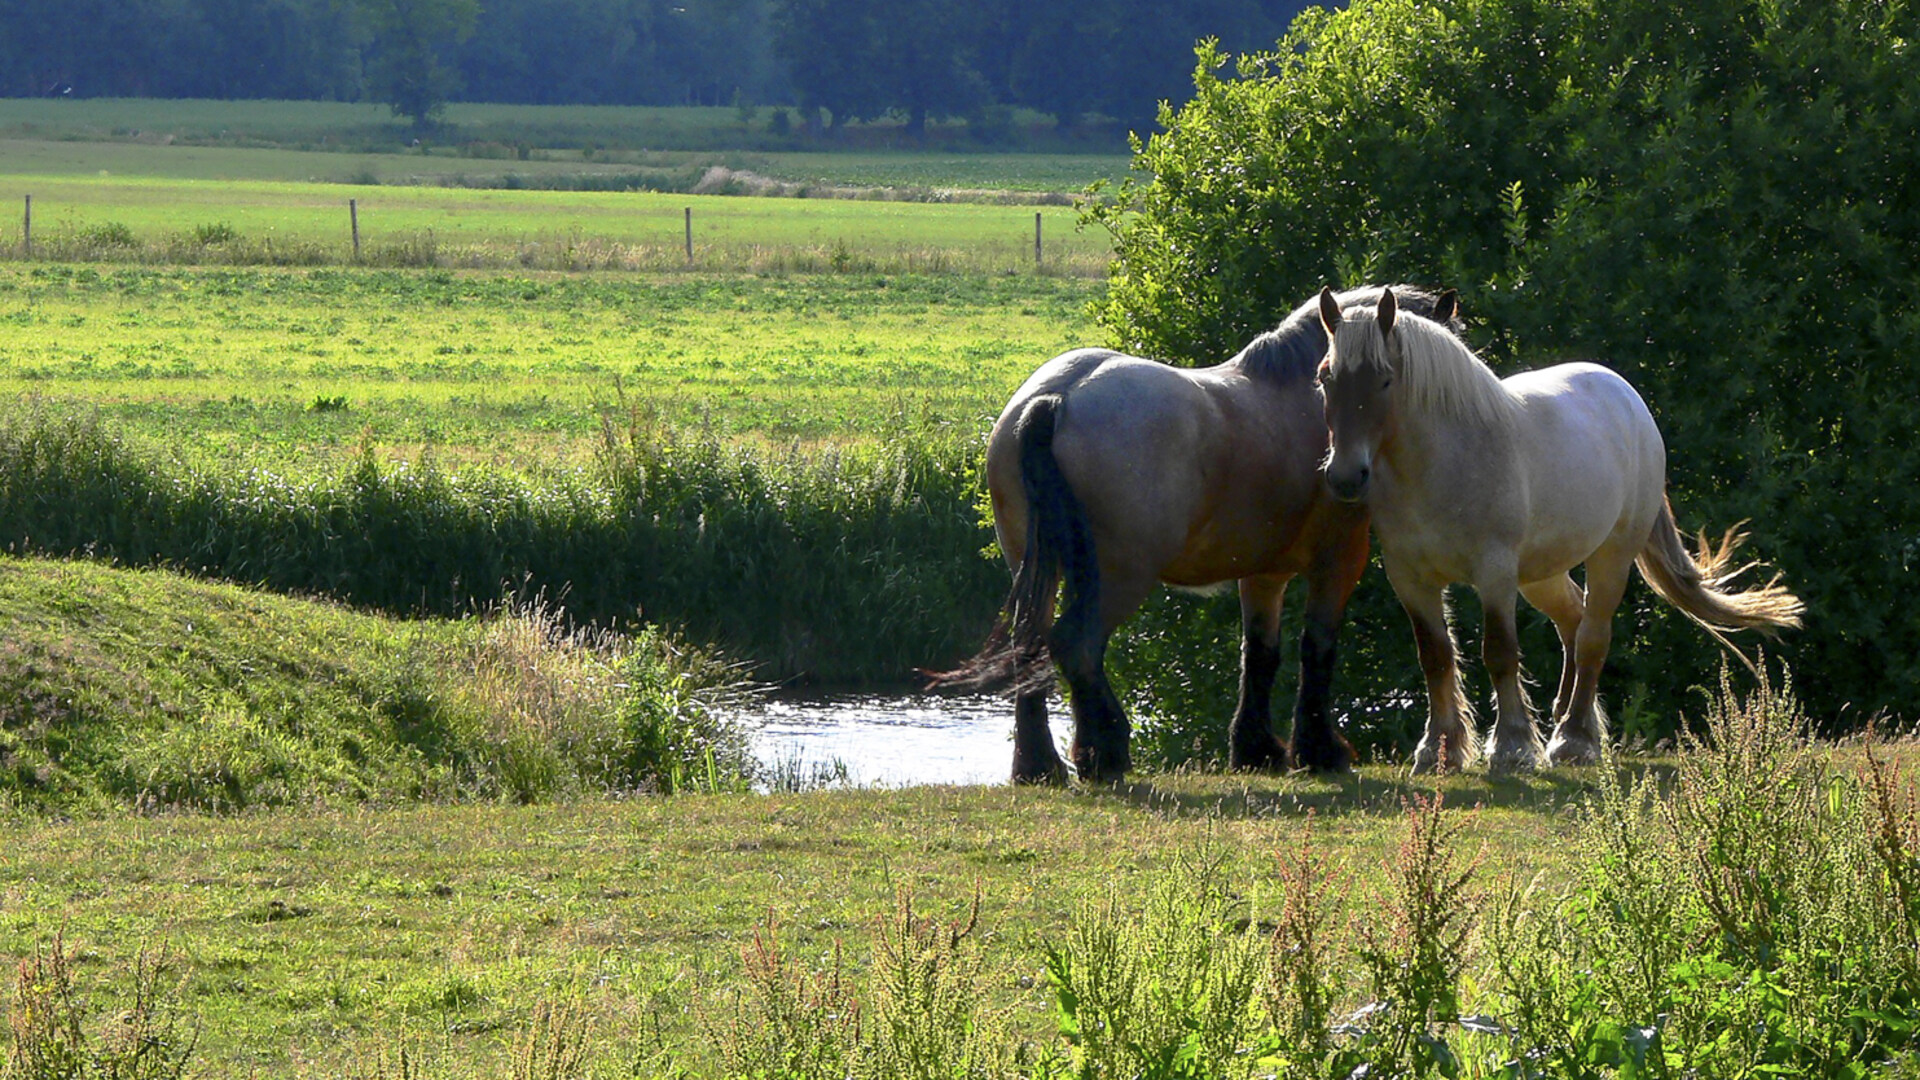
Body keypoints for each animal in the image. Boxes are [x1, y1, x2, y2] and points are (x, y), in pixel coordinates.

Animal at [1313, 288, 1804, 764]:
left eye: (1384, 379)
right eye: (1325, 378)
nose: (1345, 477)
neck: (1442, 463)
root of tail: (1628, 399)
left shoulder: (1495, 573)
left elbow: (1500, 653)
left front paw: (1511, 747)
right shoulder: (1410, 579)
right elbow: (1436, 657)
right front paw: (1440, 750)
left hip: (1611, 557)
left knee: (1592, 636)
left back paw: (1574, 739)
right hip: (1541, 574)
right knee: (1573, 619)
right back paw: (1567, 718)